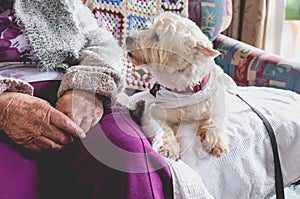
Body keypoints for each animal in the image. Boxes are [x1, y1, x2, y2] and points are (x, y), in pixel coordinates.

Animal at [125, 12, 229, 160]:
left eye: (156, 36)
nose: (128, 38)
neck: (187, 91)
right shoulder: (155, 112)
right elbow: (164, 129)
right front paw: (170, 148)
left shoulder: (215, 107)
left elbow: (215, 122)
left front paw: (216, 143)